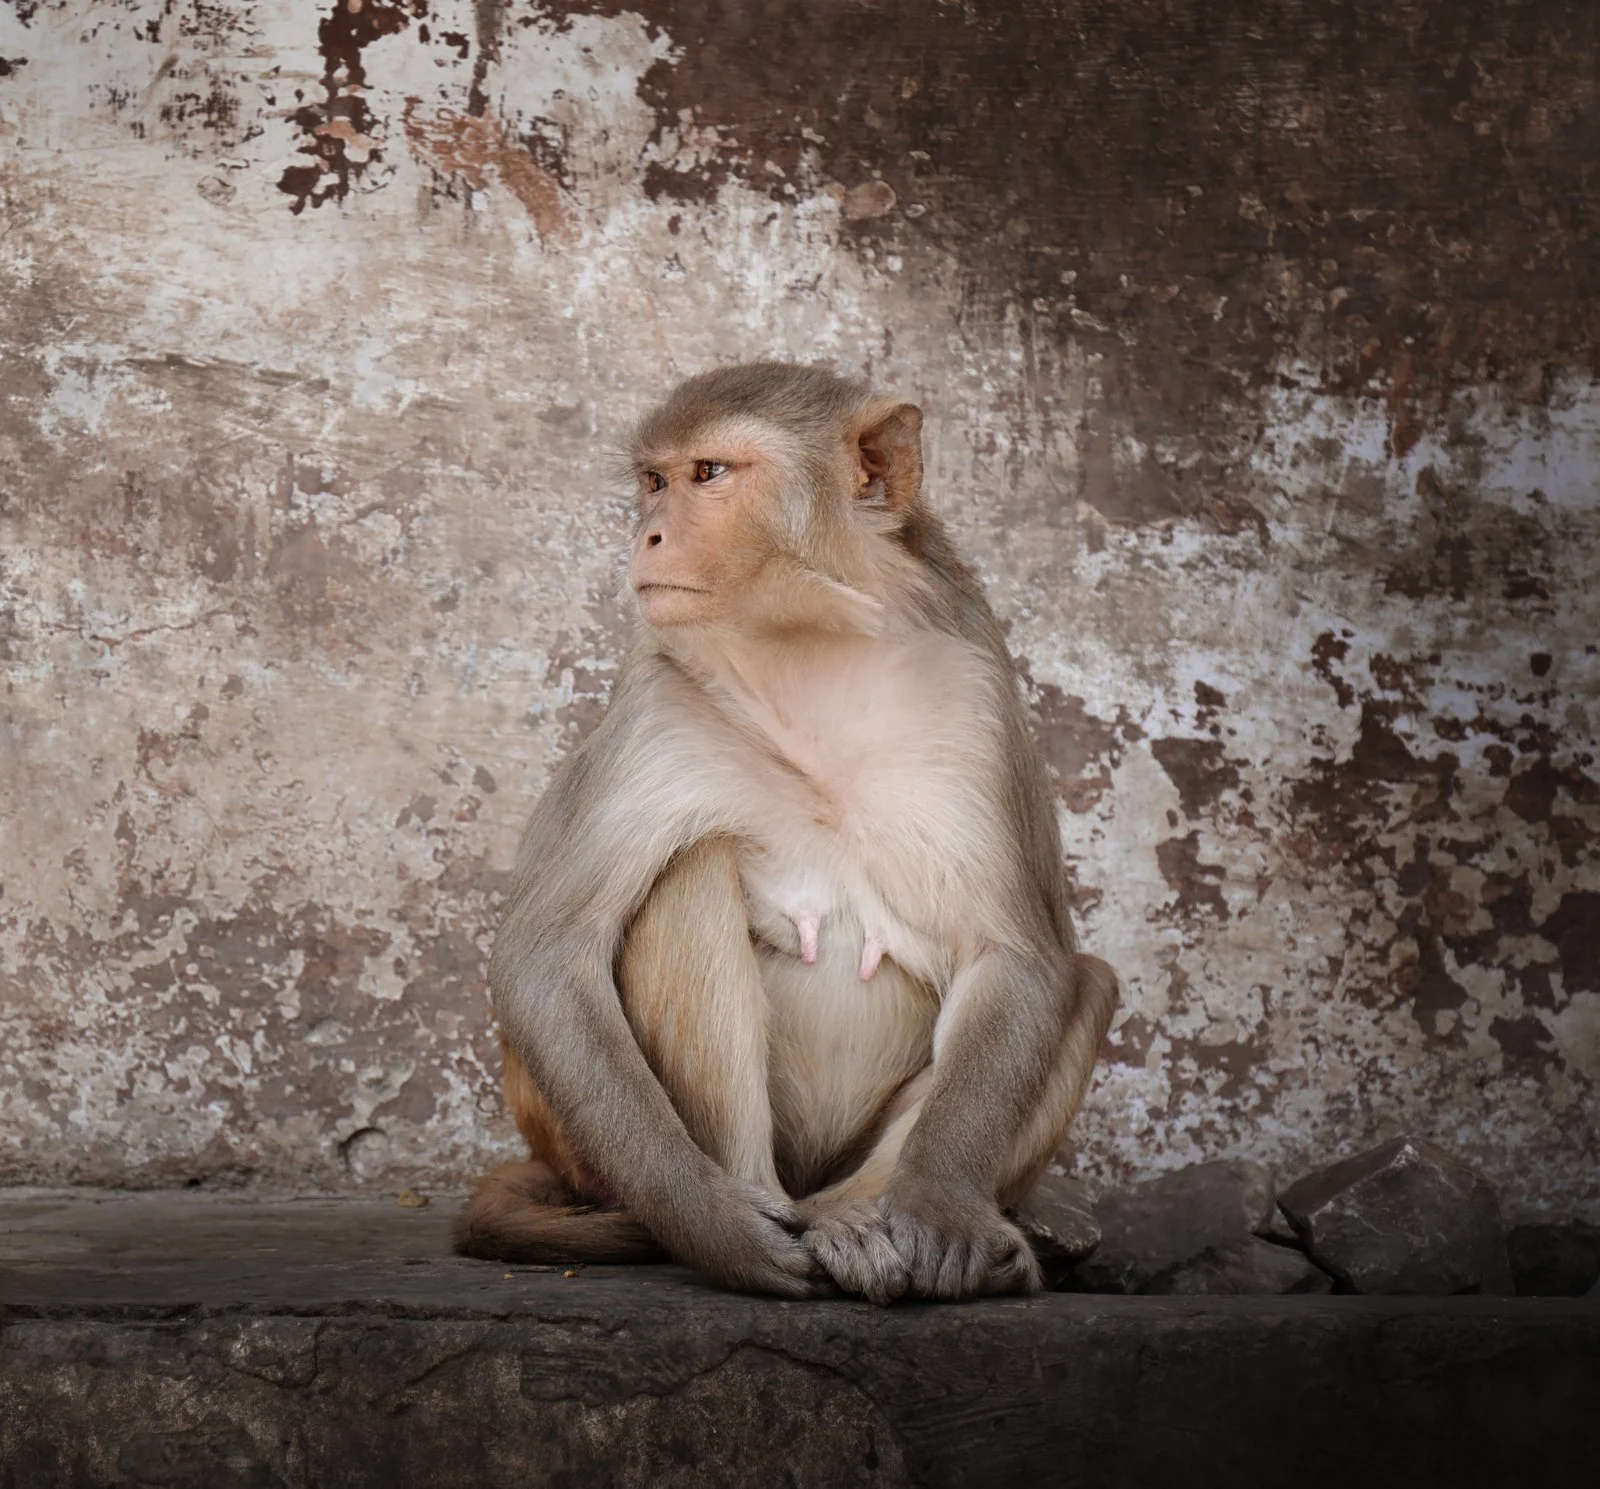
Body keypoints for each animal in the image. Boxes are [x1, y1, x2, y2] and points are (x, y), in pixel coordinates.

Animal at [454, 363, 1119, 1302]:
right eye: (654, 480)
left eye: (708, 474)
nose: (649, 534)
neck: (809, 647)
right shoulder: (656, 701)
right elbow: (545, 955)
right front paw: (715, 1224)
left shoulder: (976, 691)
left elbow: (1019, 957)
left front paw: (943, 1208)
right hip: (579, 1146)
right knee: (689, 873)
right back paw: (770, 1211)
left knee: (1086, 981)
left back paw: (889, 1220)